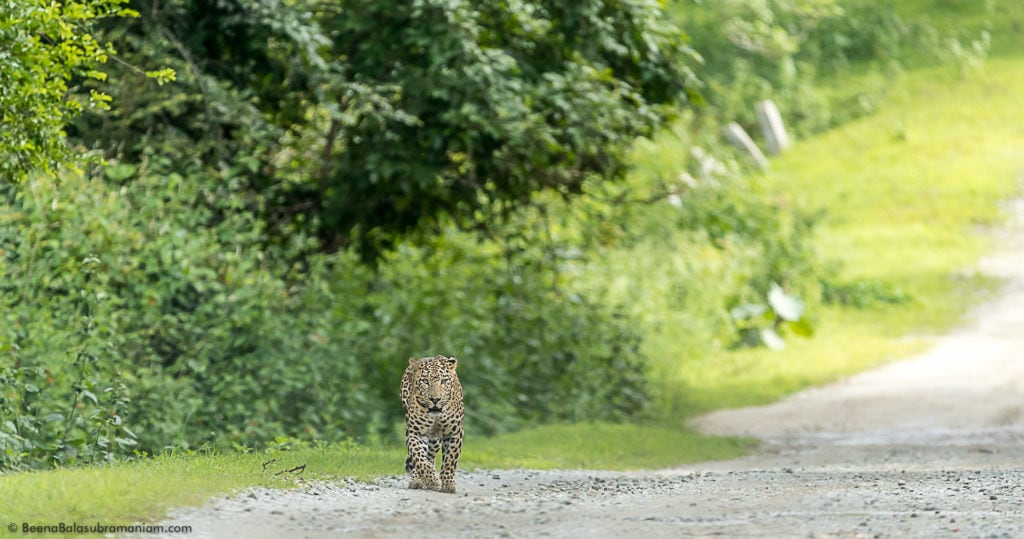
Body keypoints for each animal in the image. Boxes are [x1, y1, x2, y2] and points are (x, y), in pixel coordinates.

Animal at [399, 356, 464, 495]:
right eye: (425, 381)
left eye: (444, 381)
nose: (435, 399)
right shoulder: (415, 433)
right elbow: (418, 457)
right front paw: (432, 479)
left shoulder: (455, 433)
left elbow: (450, 460)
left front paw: (448, 484)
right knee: (422, 458)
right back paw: (418, 480)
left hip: (435, 441)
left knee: (430, 455)